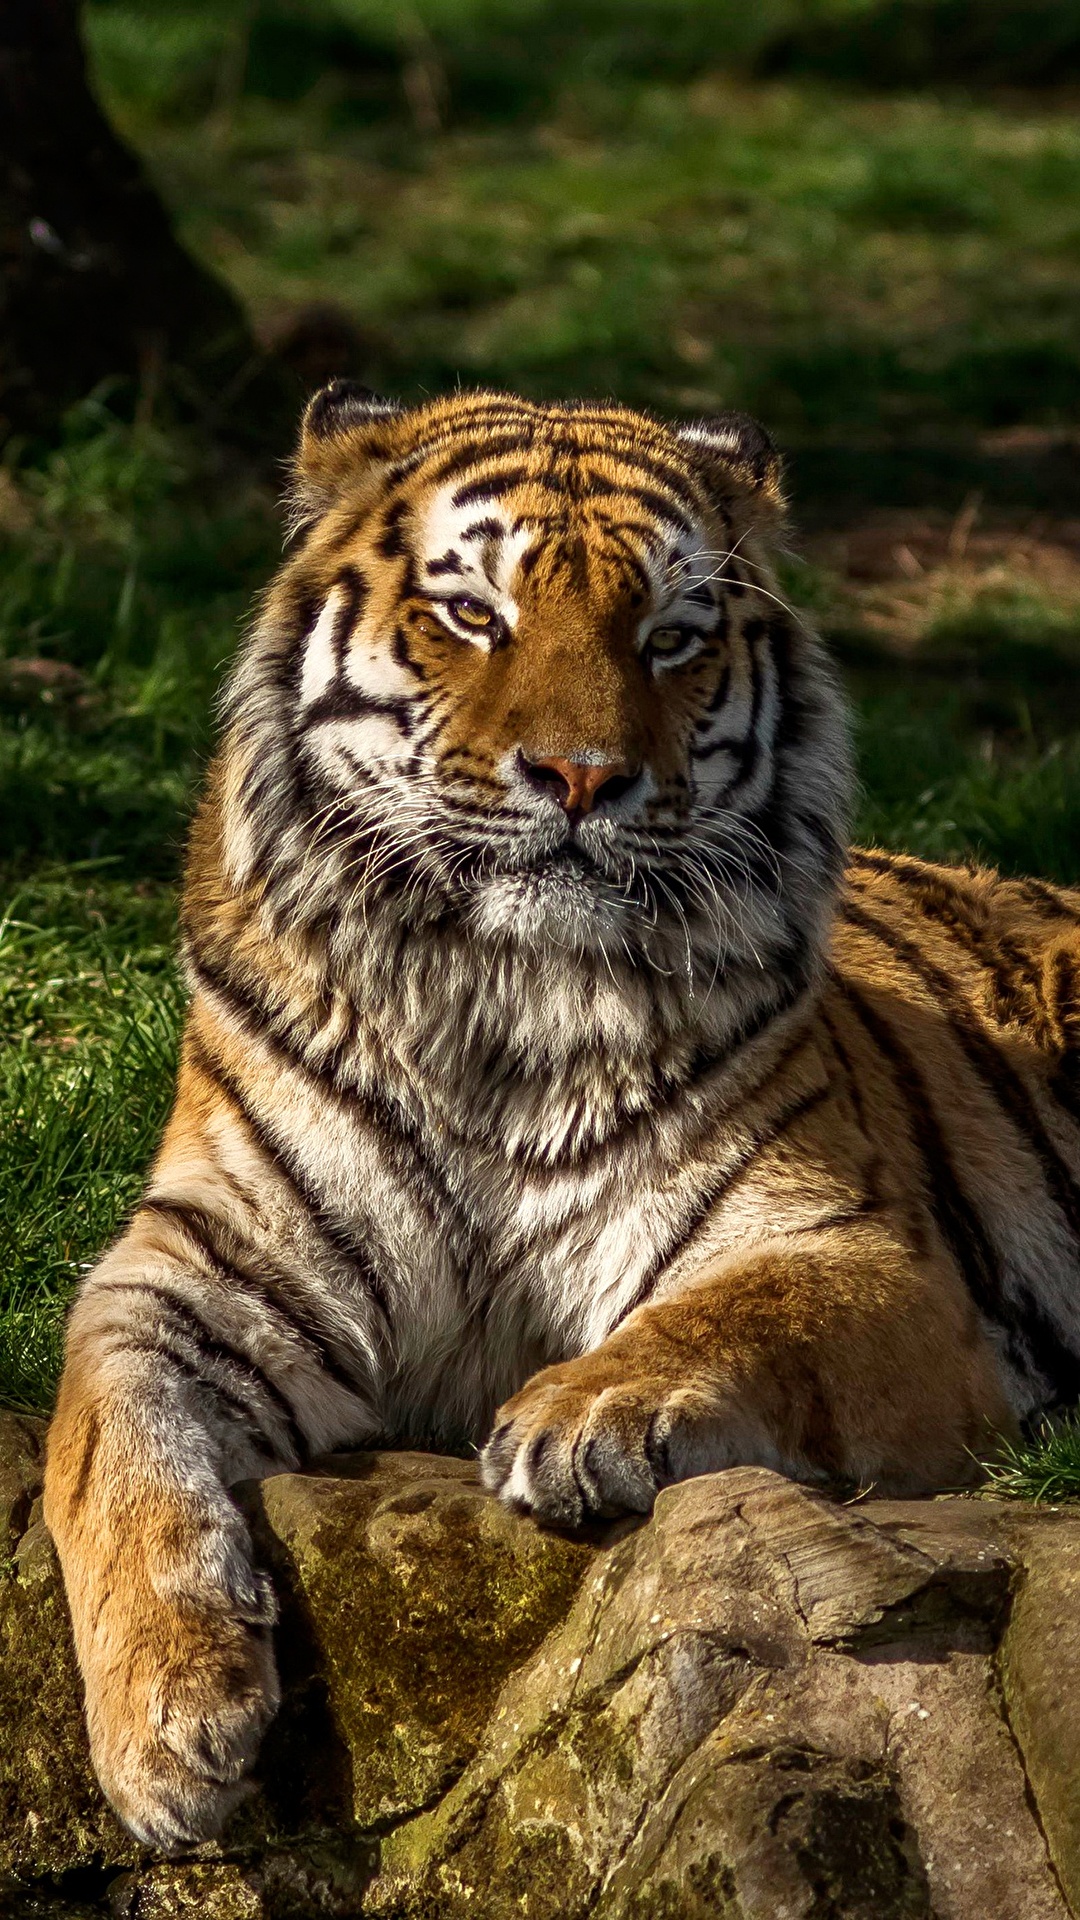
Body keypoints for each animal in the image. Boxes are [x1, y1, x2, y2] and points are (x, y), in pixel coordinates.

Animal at [43, 383, 1080, 1855]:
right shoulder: (198, 1268)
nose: (584, 778)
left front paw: (580, 1412)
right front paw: (167, 1722)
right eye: (475, 613)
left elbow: (737, 1314)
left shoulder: (866, 1251)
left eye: (670, 638)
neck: (504, 1002)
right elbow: (107, 1450)